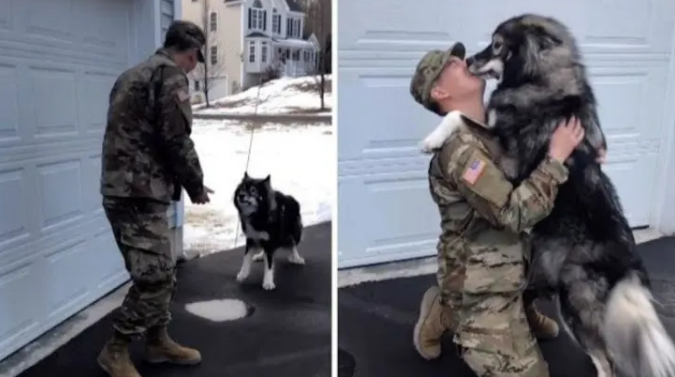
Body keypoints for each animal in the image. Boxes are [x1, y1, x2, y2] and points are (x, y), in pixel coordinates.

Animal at [422, 13, 675, 376]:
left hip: (572, 304)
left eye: (497, 45)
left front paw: (431, 139)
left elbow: (459, 115)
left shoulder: (510, 162)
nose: (468, 61)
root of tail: (628, 271)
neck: (539, 81)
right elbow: (464, 116)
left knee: (607, 363)